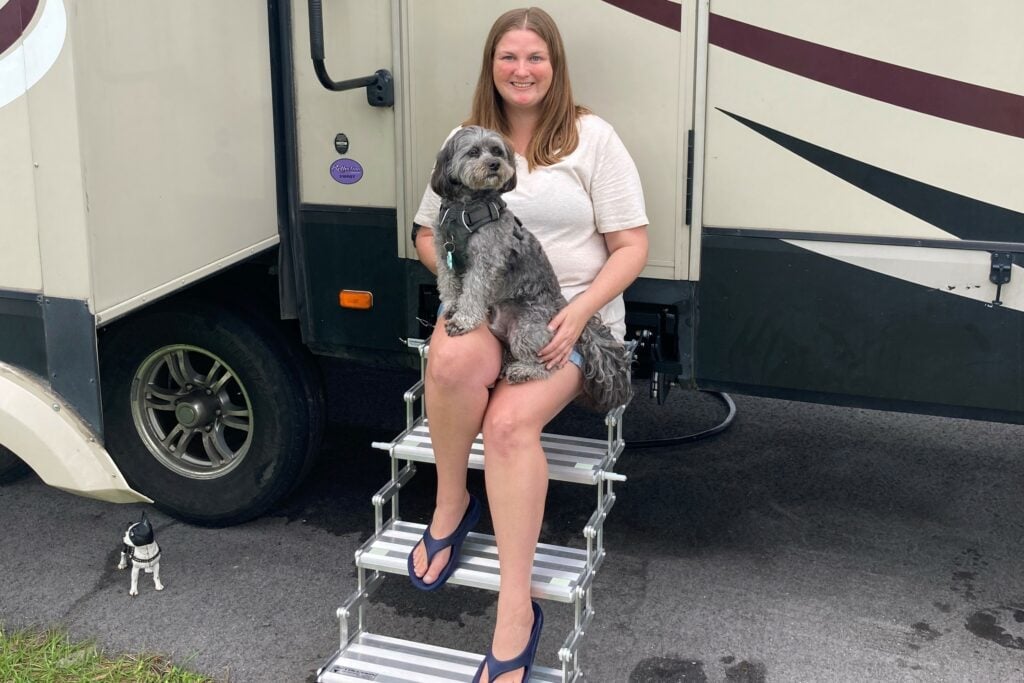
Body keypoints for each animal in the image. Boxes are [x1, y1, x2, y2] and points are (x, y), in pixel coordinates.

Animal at [425, 124, 630, 411]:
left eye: (497, 151)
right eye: (473, 152)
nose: (494, 164)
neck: (465, 208)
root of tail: (563, 308)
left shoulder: (485, 260)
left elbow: (474, 291)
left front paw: (464, 319)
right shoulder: (444, 254)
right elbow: (449, 284)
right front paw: (453, 305)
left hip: (527, 329)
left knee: (546, 366)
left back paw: (522, 371)